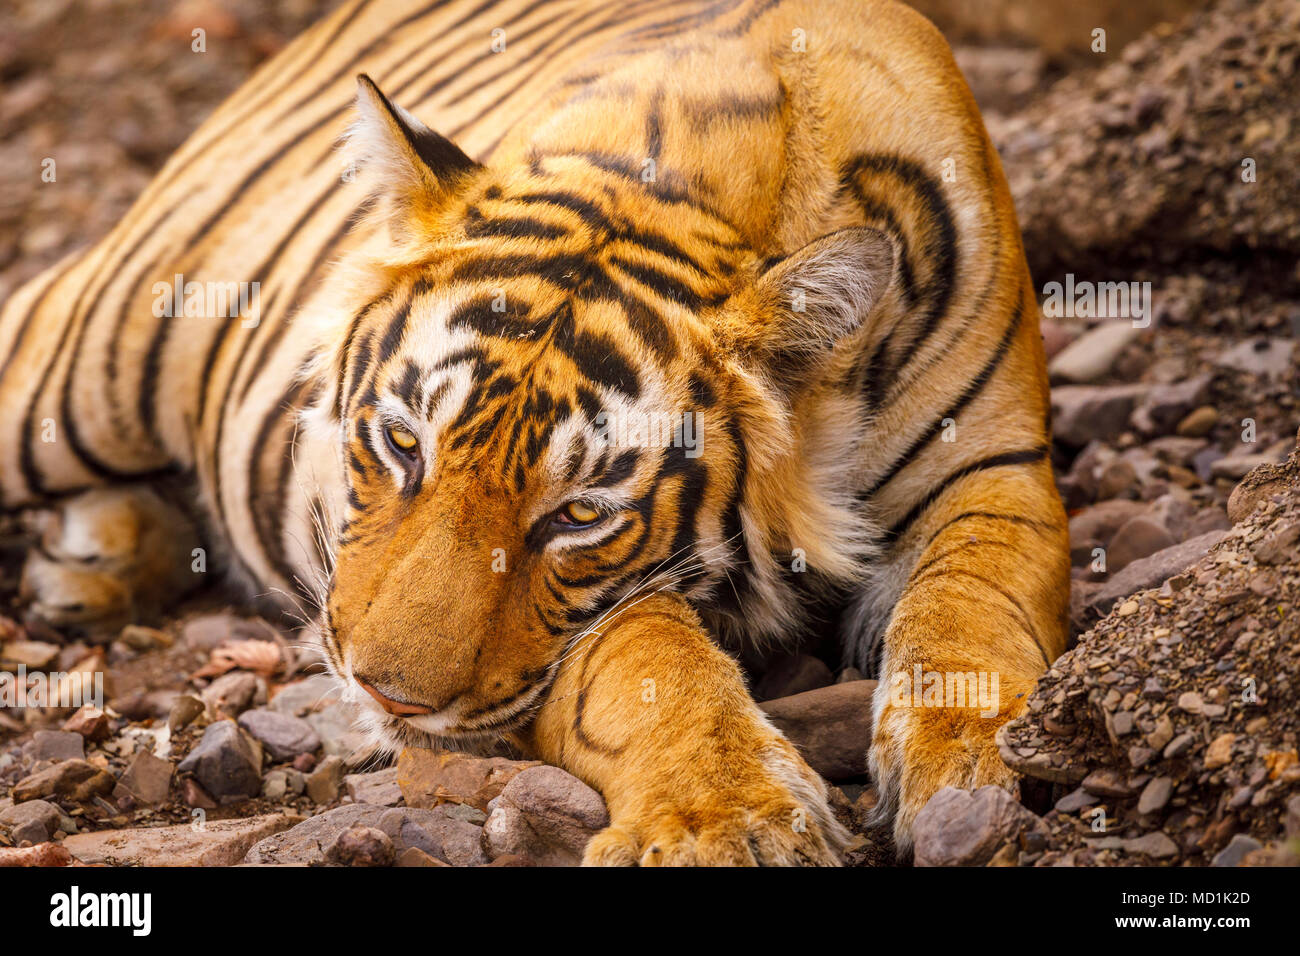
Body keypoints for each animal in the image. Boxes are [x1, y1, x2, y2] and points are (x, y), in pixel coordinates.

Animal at [0, 0, 1069, 864]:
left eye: (580, 515)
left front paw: (976, 768)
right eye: (403, 445)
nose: (387, 698)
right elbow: (645, 664)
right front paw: (728, 823)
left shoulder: (995, 467)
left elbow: (971, 605)